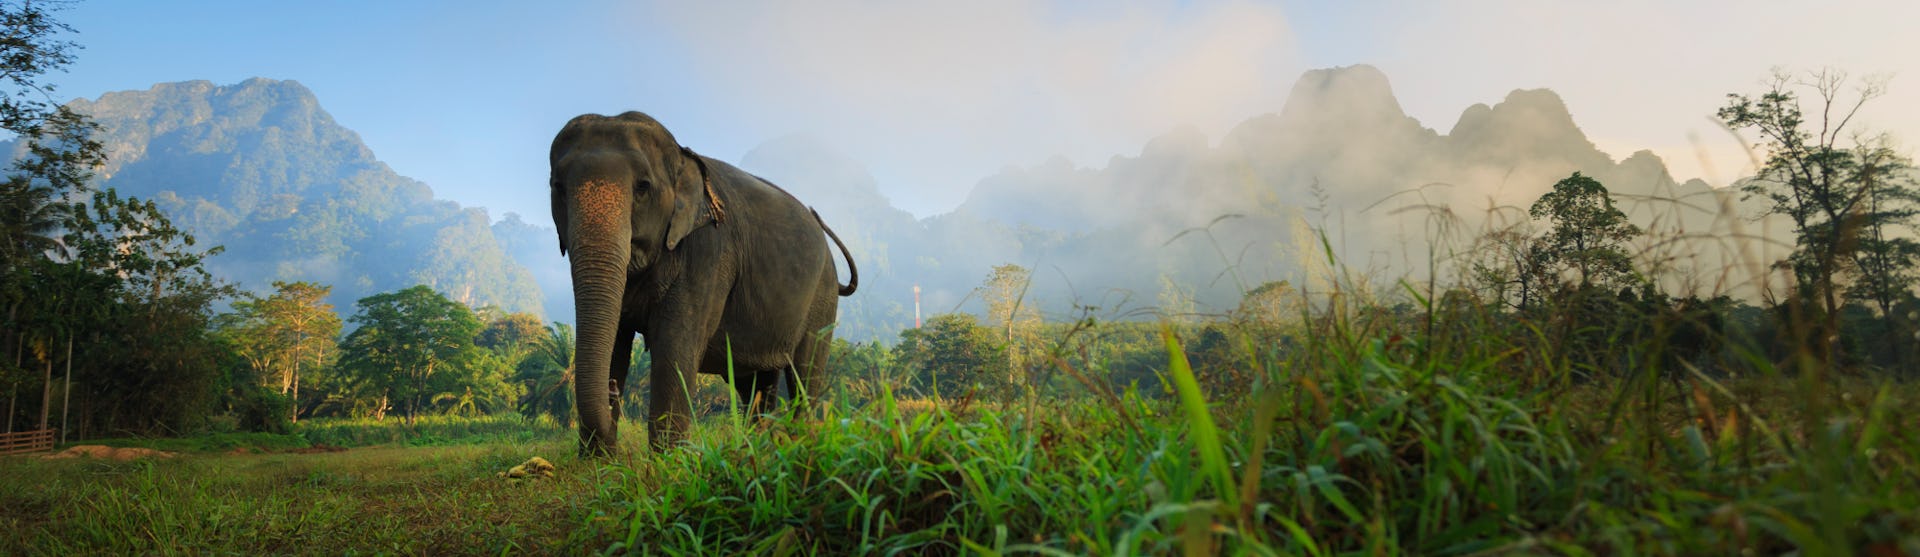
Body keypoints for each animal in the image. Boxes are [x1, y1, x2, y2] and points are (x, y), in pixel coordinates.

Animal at [549, 111, 857, 455]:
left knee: (805, 375)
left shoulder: (708, 254)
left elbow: (675, 349)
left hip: (822, 298)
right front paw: (597, 462)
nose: (612, 390)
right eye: (558, 187)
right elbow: (616, 341)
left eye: (643, 187)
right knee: (755, 386)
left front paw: (666, 463)